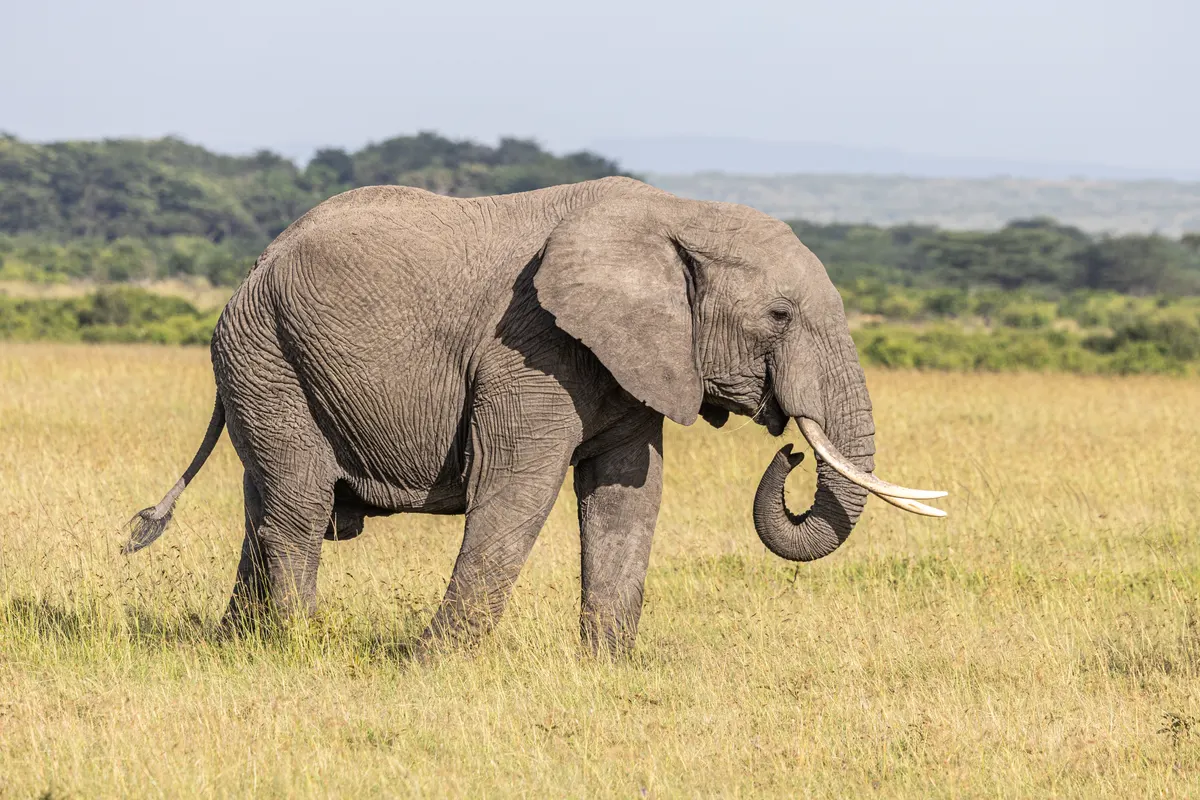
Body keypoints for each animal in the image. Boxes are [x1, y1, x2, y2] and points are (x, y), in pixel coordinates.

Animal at [125, 176, 946, 655]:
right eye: (777, 315)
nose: (792, 452)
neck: (677, 214)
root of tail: (257, 261)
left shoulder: (632, 360)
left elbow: (626, 496)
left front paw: (608, 668)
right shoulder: (531, 346)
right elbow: (517, 489)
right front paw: (433, 664)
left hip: (268, 362)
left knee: (264, 502)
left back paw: (237, 647)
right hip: (265, 352)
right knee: (297, 506)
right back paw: (295, 647)